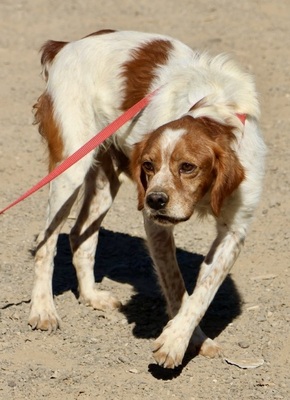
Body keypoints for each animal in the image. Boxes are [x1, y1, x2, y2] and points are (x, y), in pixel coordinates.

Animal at [30, 29, 266, 368]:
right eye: (148, 165)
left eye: (188, 167)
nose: (155, 200)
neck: (215, 108)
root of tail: (64, 46)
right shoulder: (156, 224)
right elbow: (177, 286)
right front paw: (182, 341)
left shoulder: (234, 230)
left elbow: (202, 293)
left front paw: (184, 338)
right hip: (71, 167)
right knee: (46, 242)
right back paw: (42, 309)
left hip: (105, 181)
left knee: (79, 234)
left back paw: (91, 296)